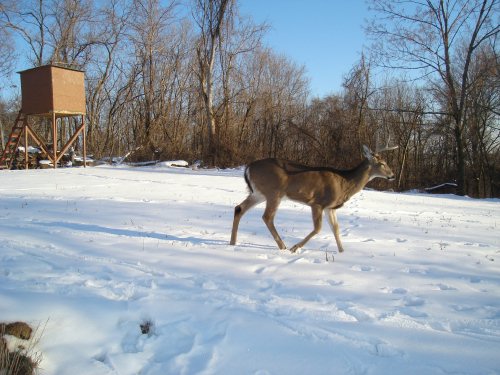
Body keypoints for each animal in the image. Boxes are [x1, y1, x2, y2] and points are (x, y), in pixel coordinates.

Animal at [230, 145, 398, 254]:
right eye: (382, 163)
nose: (392, 175)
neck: (344, 182)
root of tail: (248, 167)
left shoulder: (330, 207)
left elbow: (336, 228)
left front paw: (342, 252)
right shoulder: (317, 203)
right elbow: (318, 228)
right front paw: (295, 248)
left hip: (259, 193)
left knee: (239, 208)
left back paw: (232, 242)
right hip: (274, 193)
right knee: (267, 217)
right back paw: (283, 246)